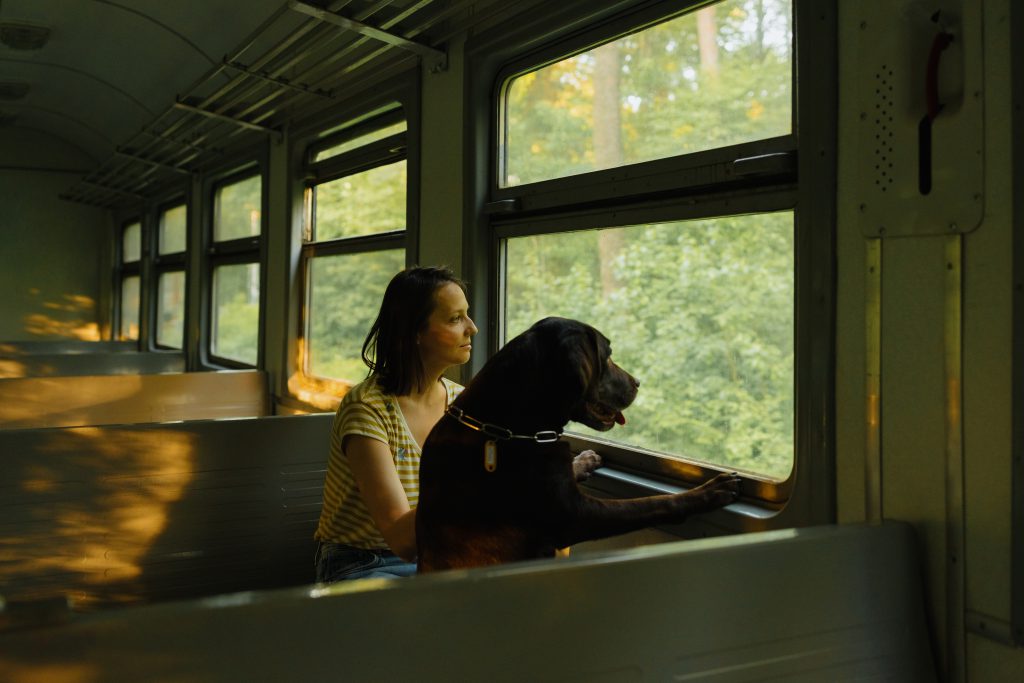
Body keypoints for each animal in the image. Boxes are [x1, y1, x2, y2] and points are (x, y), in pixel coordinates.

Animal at [411, 317, 741, 573]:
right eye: (607, 356)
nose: (637, 382)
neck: (509, 426)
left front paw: (585, 459)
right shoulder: (574, 515)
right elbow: (651, 503)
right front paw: (709, 491)